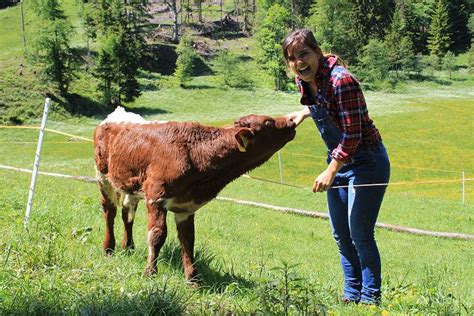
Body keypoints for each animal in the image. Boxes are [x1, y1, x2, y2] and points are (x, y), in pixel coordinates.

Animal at [93, 107, 296, 282]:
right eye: (268, 122)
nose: (292, 121)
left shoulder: (186, 207)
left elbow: (188, 241)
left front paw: (193, 279)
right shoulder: (156, 196)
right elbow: (157, 235)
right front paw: (150, 273)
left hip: (131, 184)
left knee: (127, 213)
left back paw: (128, 247)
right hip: (103, 176)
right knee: (110, 211)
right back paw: (108, 248)